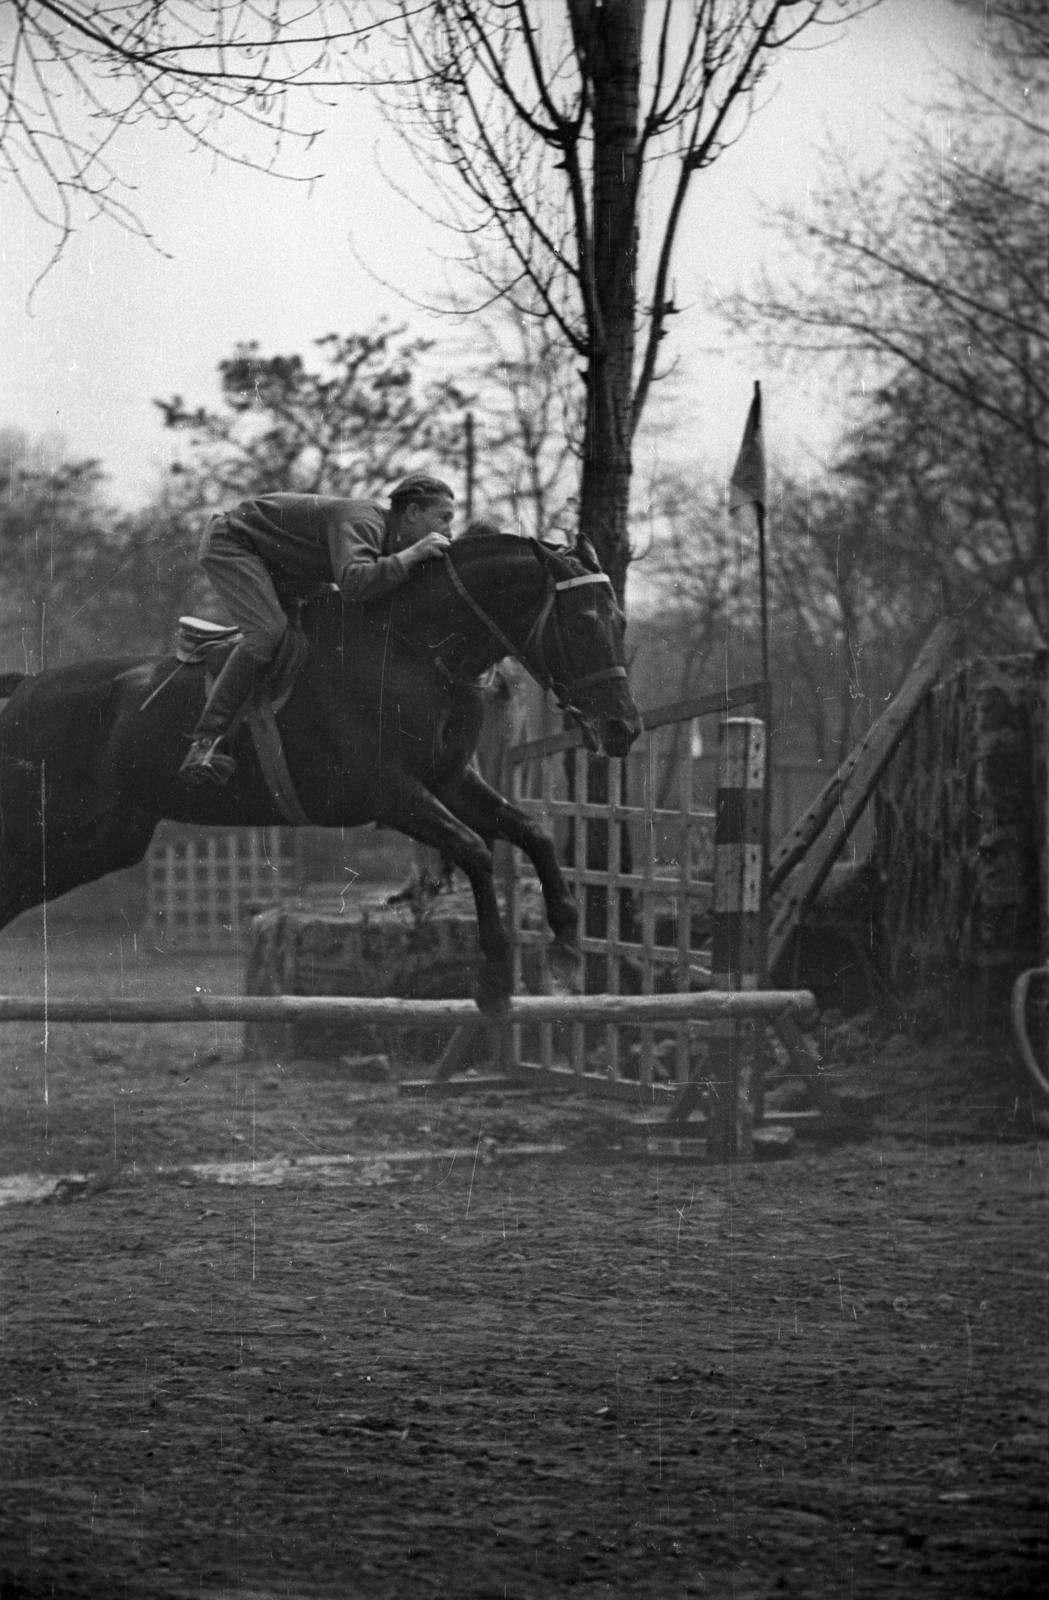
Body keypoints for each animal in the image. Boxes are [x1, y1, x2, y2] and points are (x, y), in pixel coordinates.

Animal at [0, 534, 639, 1011]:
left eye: (622, 621)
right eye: (583, 624)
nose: (622, 728)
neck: (415, 648)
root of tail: (24, 690)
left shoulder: (449, 780)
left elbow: (532, 833)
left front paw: (565, 952)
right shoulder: (390, 792)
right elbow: (475, 849)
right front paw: (497, 979)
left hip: (99, 842)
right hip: (45, 831)